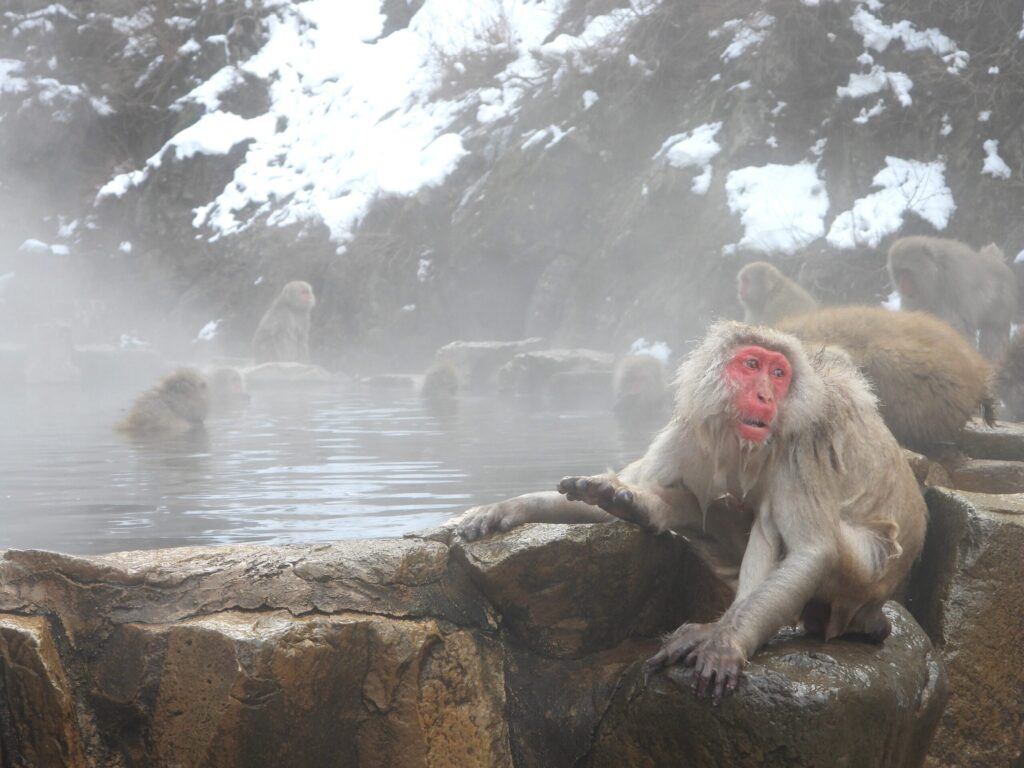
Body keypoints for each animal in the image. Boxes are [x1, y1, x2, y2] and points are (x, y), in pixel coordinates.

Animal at [453, 321, 926, 702]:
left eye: (779, 373)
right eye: (751, 364)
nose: (765, 396)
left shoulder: (803, 442)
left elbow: (811, 551)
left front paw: (726, 643)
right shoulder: (693, 428)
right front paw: (514, 506)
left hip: (863, 575)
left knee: (773, 520)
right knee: (712, 503)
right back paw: (637, 508)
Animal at [887, 236, 1017, 359]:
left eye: (906, 271)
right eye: (898, 273)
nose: (902, 286)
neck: (936, 278)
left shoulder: (955, 281)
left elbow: (957, 325)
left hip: (1002, 306)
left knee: (992, 333)